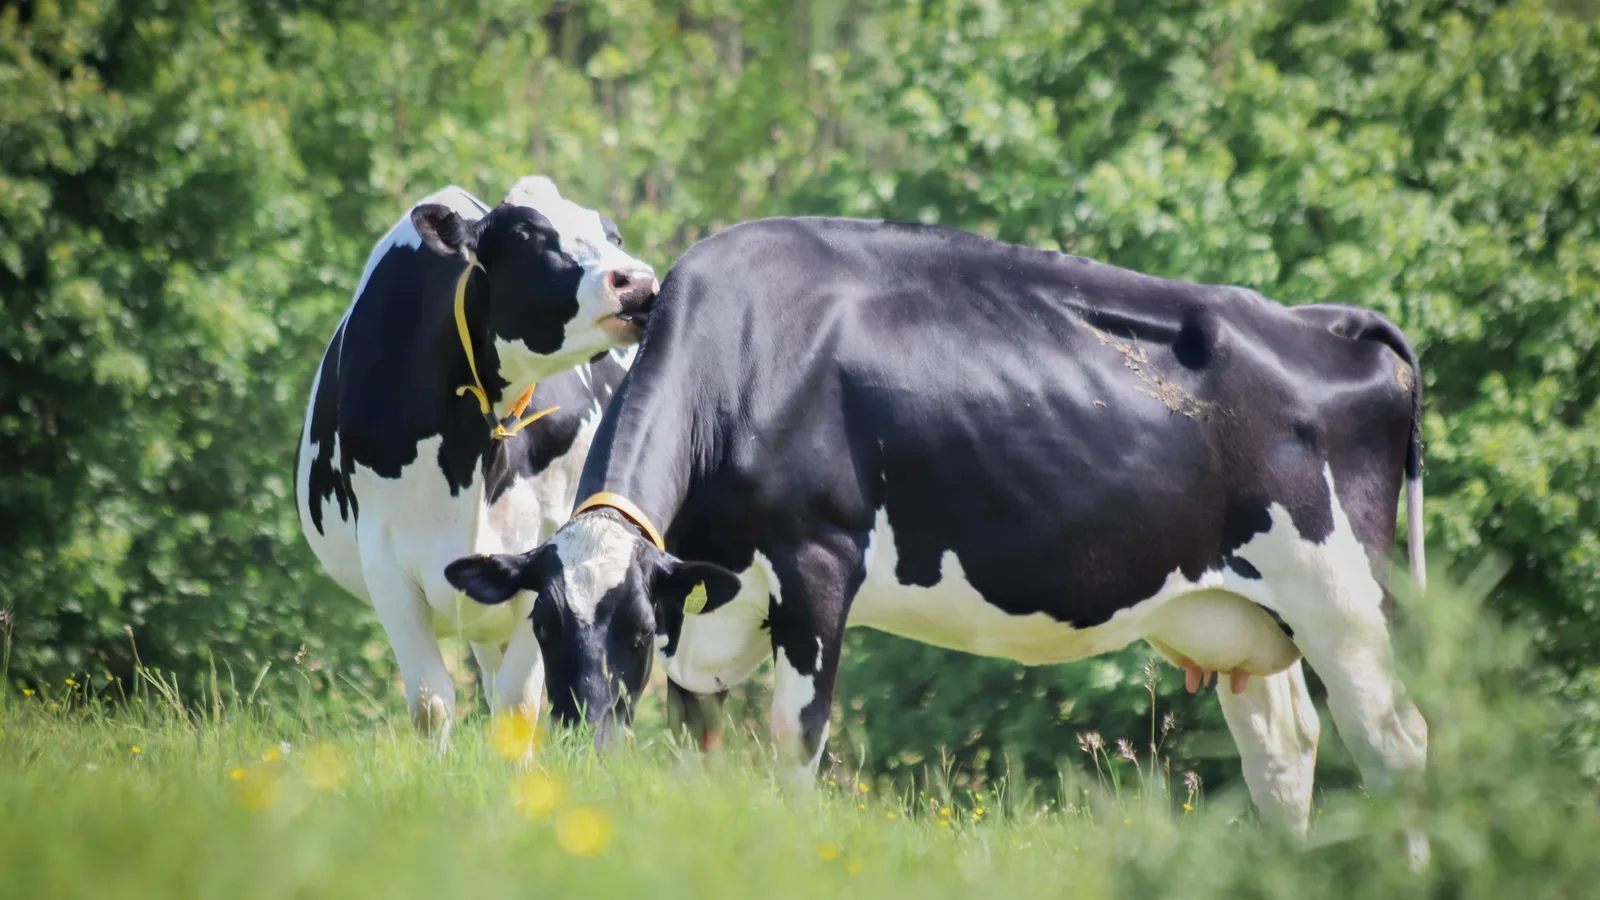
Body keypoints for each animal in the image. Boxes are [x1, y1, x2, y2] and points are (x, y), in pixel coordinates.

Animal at [294, 176, 656, 744]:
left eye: (612, 235)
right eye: (526, 234)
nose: (636, 281)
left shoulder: (543, 555)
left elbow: (518, 705)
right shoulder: (384, 558)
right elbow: (431, 702)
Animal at [443, 215, 1429, 833]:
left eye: (639, 631)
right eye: (544, 624)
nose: (587, 746)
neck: (748, 351)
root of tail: (1323, 321)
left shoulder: (817, 565)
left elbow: (797, 738)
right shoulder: (708, 603)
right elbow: (705, 746)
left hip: (1345, 602)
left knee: (1397, 748)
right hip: (1246, 617)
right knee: (1285, 754)